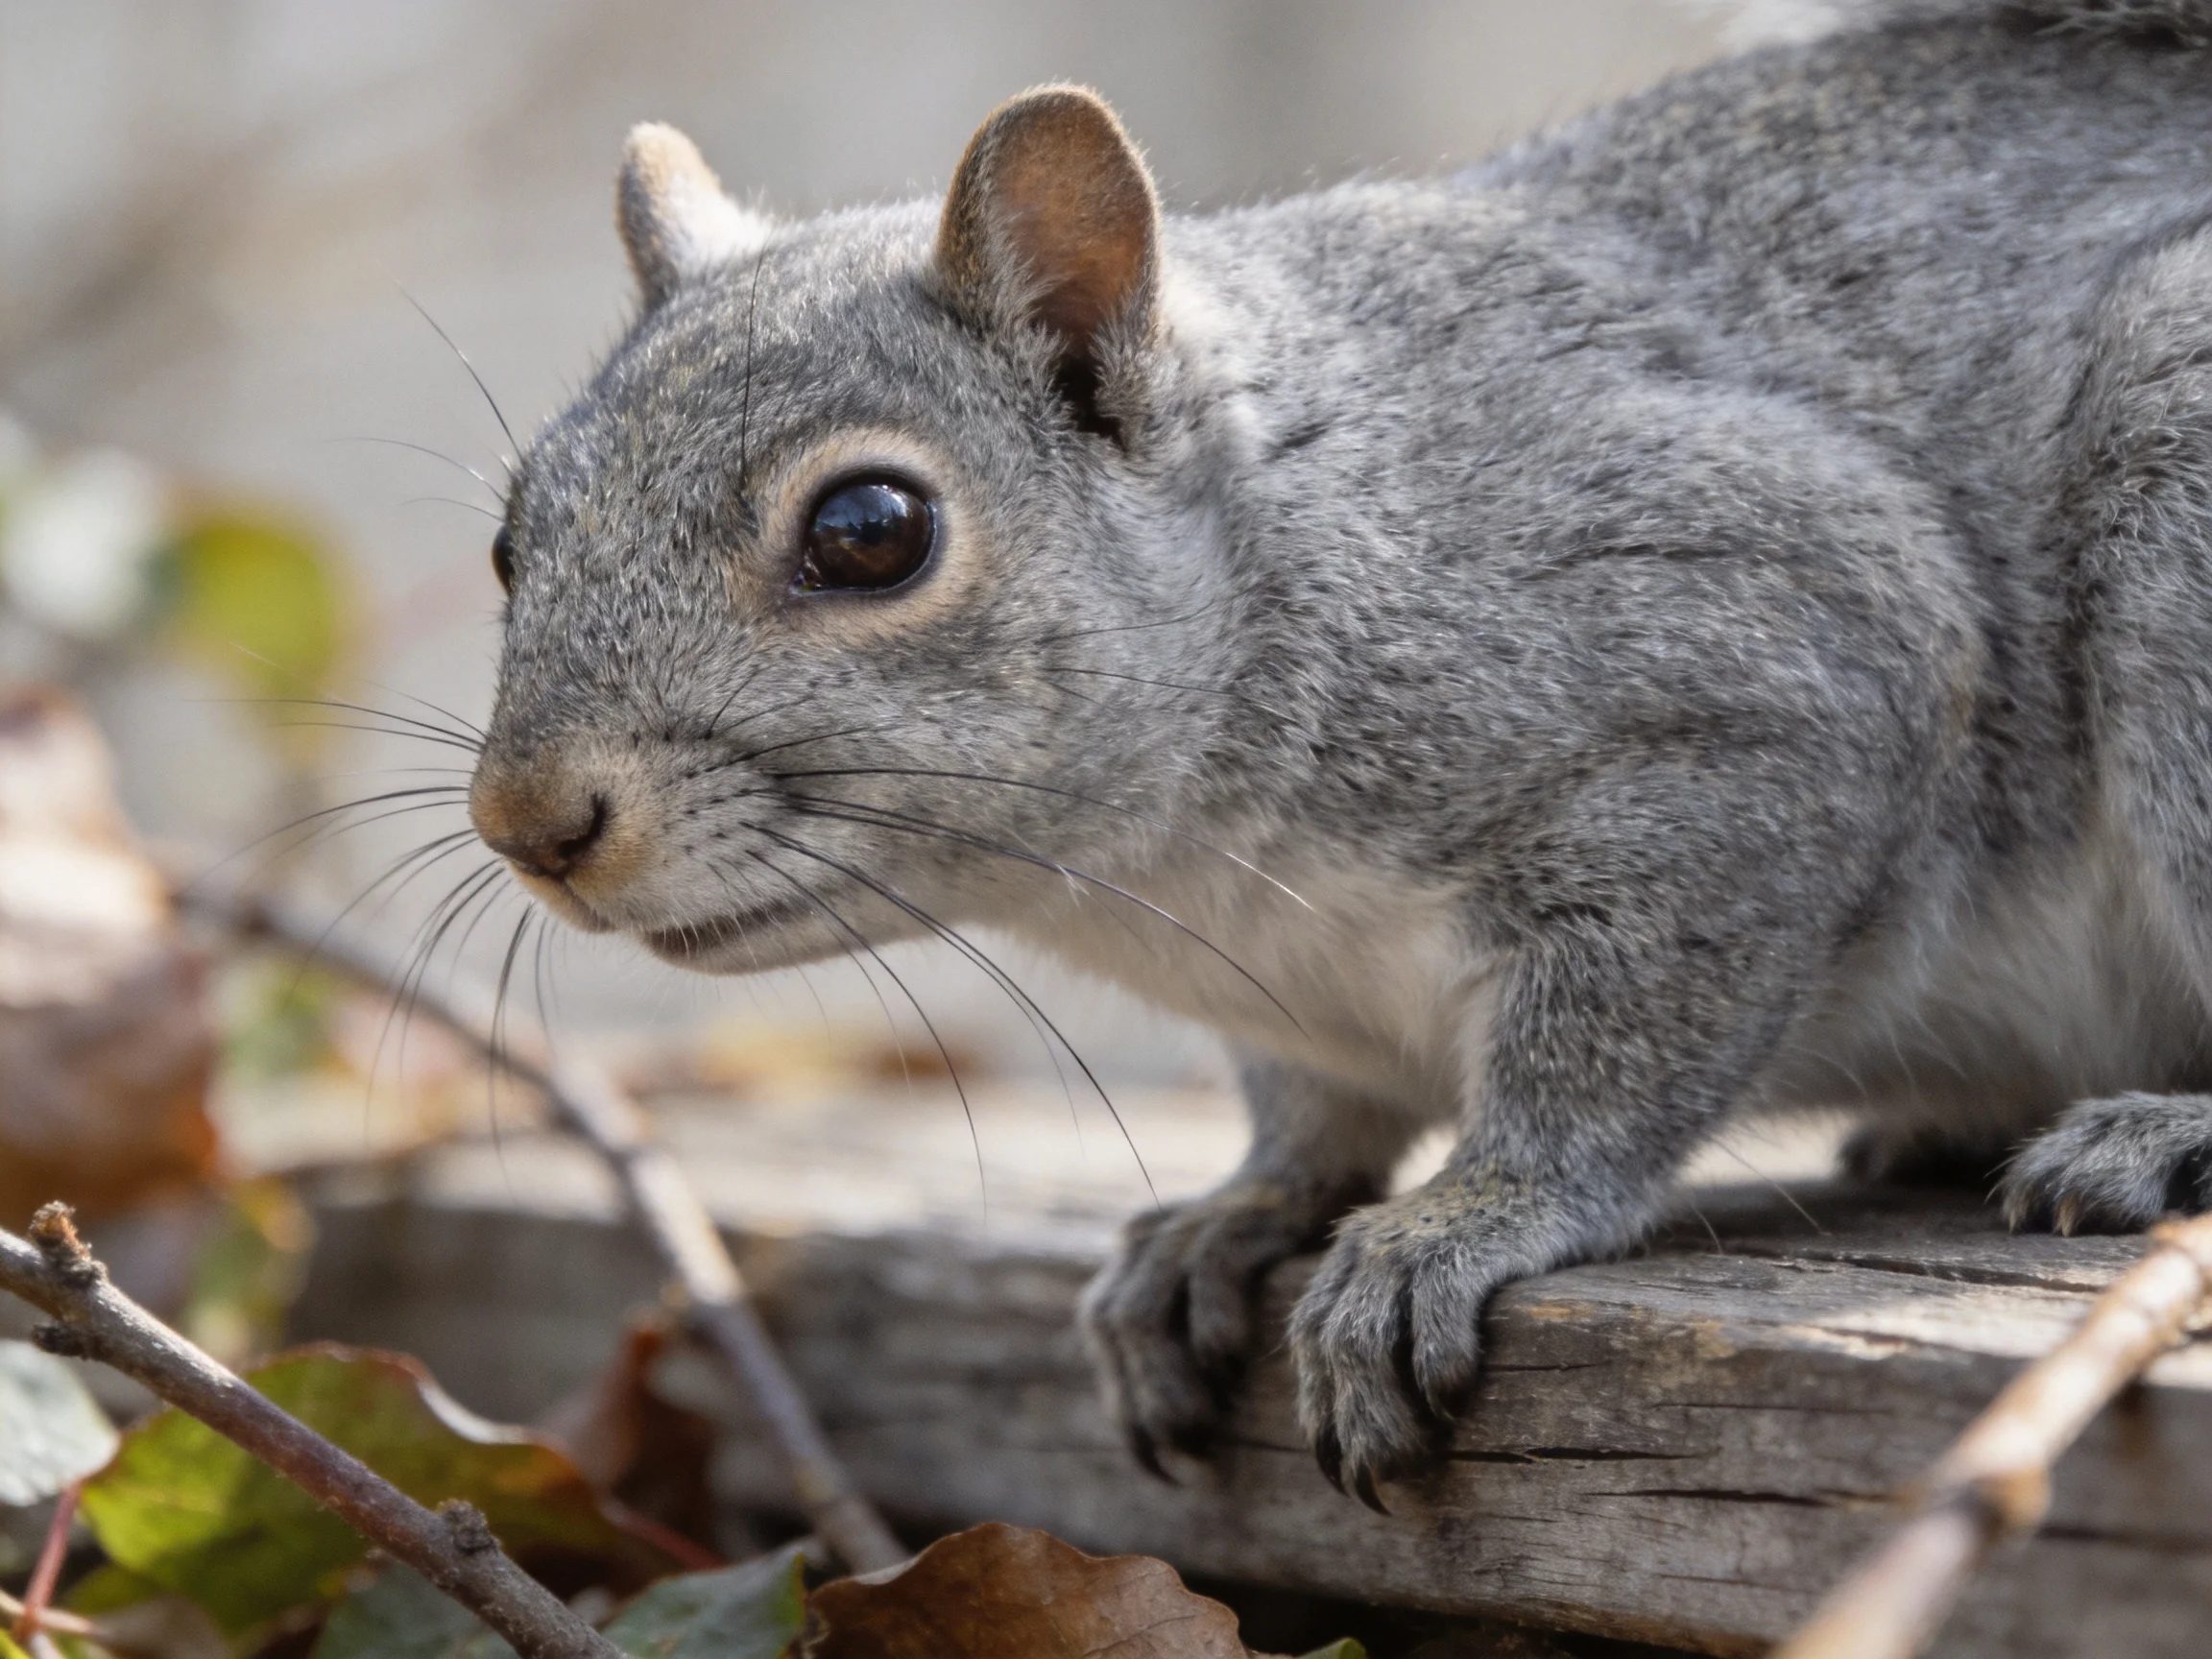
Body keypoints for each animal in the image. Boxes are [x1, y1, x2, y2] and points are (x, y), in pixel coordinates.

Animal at [467, 1, 2212, 1504]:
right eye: (510, 536)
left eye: (869, 529)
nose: (527, 820)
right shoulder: (1295, 1001)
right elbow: (1309, 1121)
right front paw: (1230, 1215)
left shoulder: (1764, 677)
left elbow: (1616, 1044)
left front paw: (1460, 1220)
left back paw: (2152, 1133)